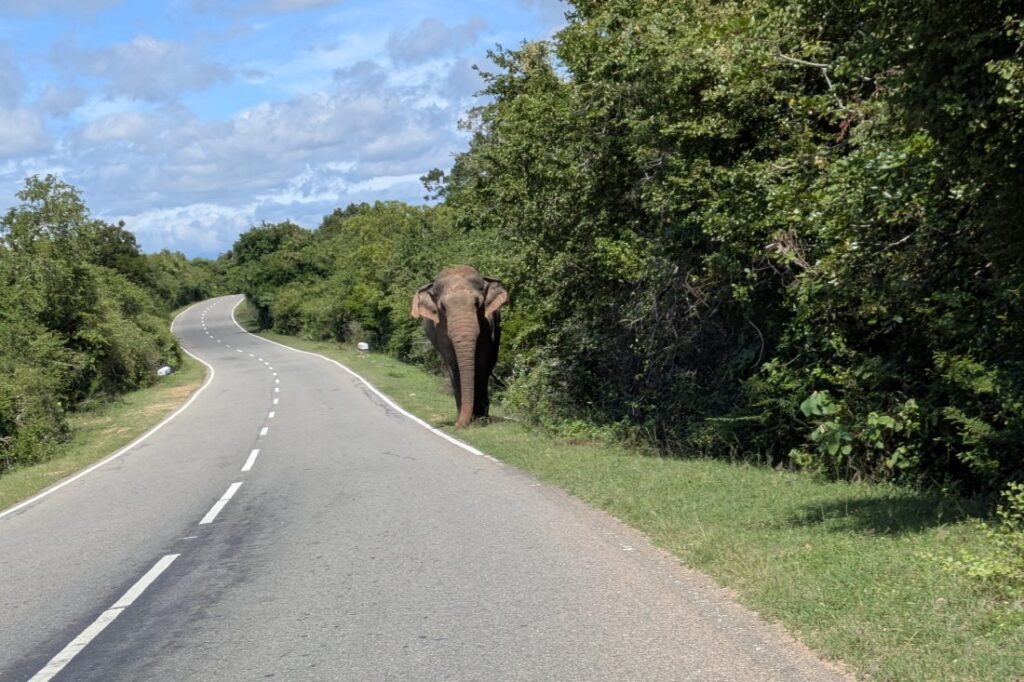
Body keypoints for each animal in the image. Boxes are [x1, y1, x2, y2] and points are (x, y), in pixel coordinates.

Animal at [411, 266, 508, 428]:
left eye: (477, 304)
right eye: (442, 308)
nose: (456, 427)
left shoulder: (488, 323)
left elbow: (480, 364)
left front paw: (479, 421)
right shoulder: (440, 329)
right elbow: (453, 363)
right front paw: (465, 420)